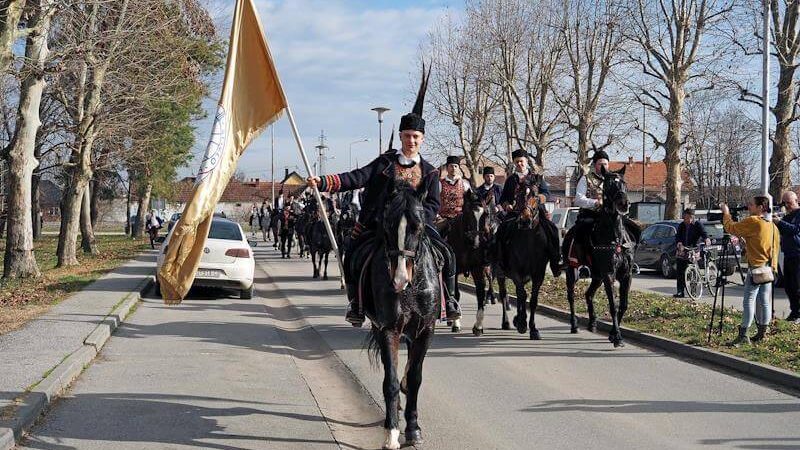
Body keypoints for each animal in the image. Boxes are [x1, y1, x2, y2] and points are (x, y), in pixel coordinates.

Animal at [364, 180, 440, 450]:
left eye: (418, 226)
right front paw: (392, 432)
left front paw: (413, 428)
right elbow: (391, 381)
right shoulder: (389, 329)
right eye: (387, 226)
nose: (399, 280)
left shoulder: (425, 330)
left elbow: (415, 378)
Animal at [496, 192, 560, 340]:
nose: (525, 220)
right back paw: (507, 322)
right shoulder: (516, 272)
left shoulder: (539, 274)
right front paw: (522, 324)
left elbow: (533, 299)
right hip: (500, 274)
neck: (528, 240)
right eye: (518, 197)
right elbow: (522, 295)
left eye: (536, 197)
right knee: (504, 294)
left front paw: (533, 328)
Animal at [564, 166, 640, 348]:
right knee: (571, 296)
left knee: (588, 294)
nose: (624, 204)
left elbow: (623, 305)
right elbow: (613, 305)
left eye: (624, 182)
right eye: (609, 184)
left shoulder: (626, 275)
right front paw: (617, 337)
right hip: (572, 272)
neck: (615, 237)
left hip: (597, 277)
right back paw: (574, 325)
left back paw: (592, 323)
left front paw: (613, 334)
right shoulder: (608, 274)